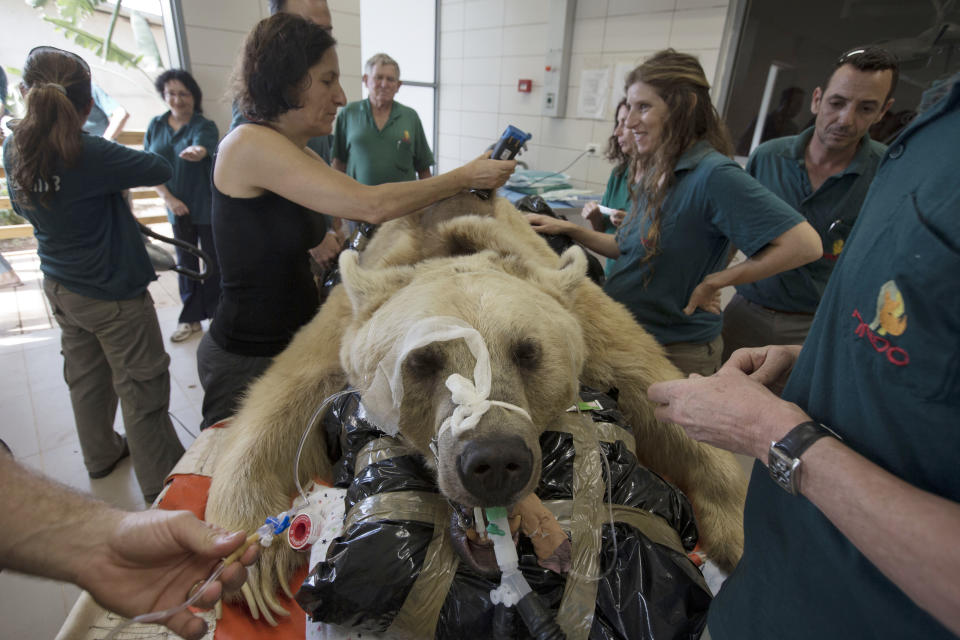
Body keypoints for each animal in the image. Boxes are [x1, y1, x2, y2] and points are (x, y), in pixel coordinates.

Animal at [206, 194, 752, 624]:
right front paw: (251, 564)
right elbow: (280, 402)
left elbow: (661, 394)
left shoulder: (590, 320)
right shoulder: (340, 325)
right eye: (423, 360)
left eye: (528, 352)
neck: (450, 246)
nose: (494, 459)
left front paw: (738, 533)